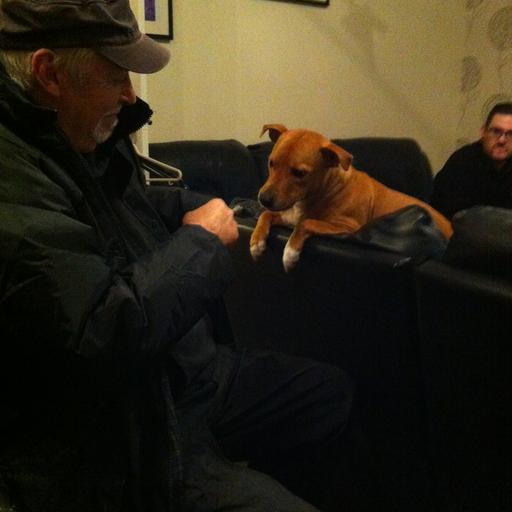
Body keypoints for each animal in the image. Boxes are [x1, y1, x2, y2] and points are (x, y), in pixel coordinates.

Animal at [250, 124, 453, 272]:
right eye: (271, 162)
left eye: (299, 173)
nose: (263, 199)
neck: (327, 189)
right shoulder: (289, 215)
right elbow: (266, 215)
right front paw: (256, 242)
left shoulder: (348, 227)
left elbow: (307, 223)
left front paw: (290, 252)